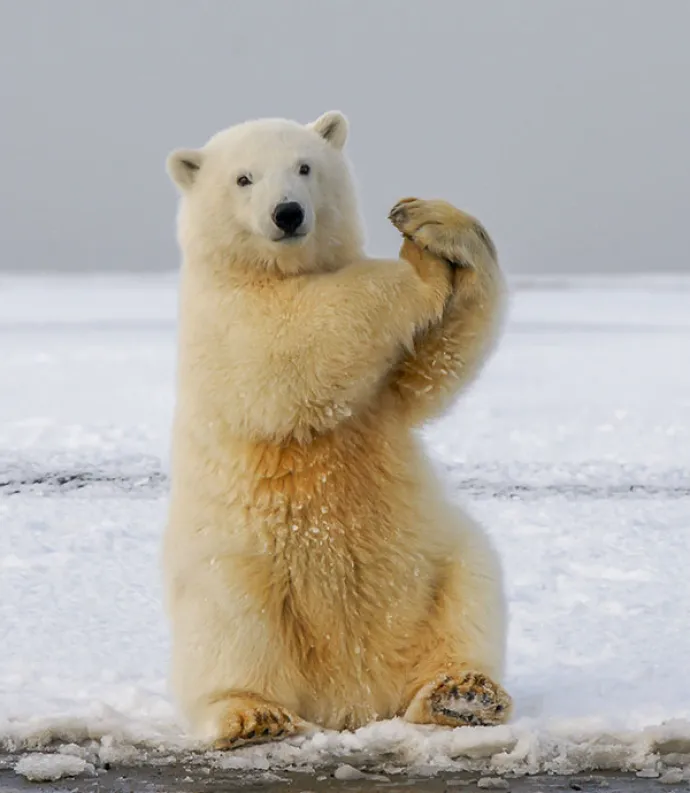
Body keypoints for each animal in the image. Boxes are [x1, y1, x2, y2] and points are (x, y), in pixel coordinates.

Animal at [163, 110, 511, 748]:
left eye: (305, 167)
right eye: (244, 178)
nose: (288, 213)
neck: (276, 270)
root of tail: (351, 699)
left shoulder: (384, 395)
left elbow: (432, 368)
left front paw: (430, 223)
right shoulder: (224, 315)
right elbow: (291, 343)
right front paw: (418, 268)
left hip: (434, 560)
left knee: (469, 587)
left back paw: (462, 694)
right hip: (234, 566)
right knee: (231, 626)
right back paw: (255, 715)